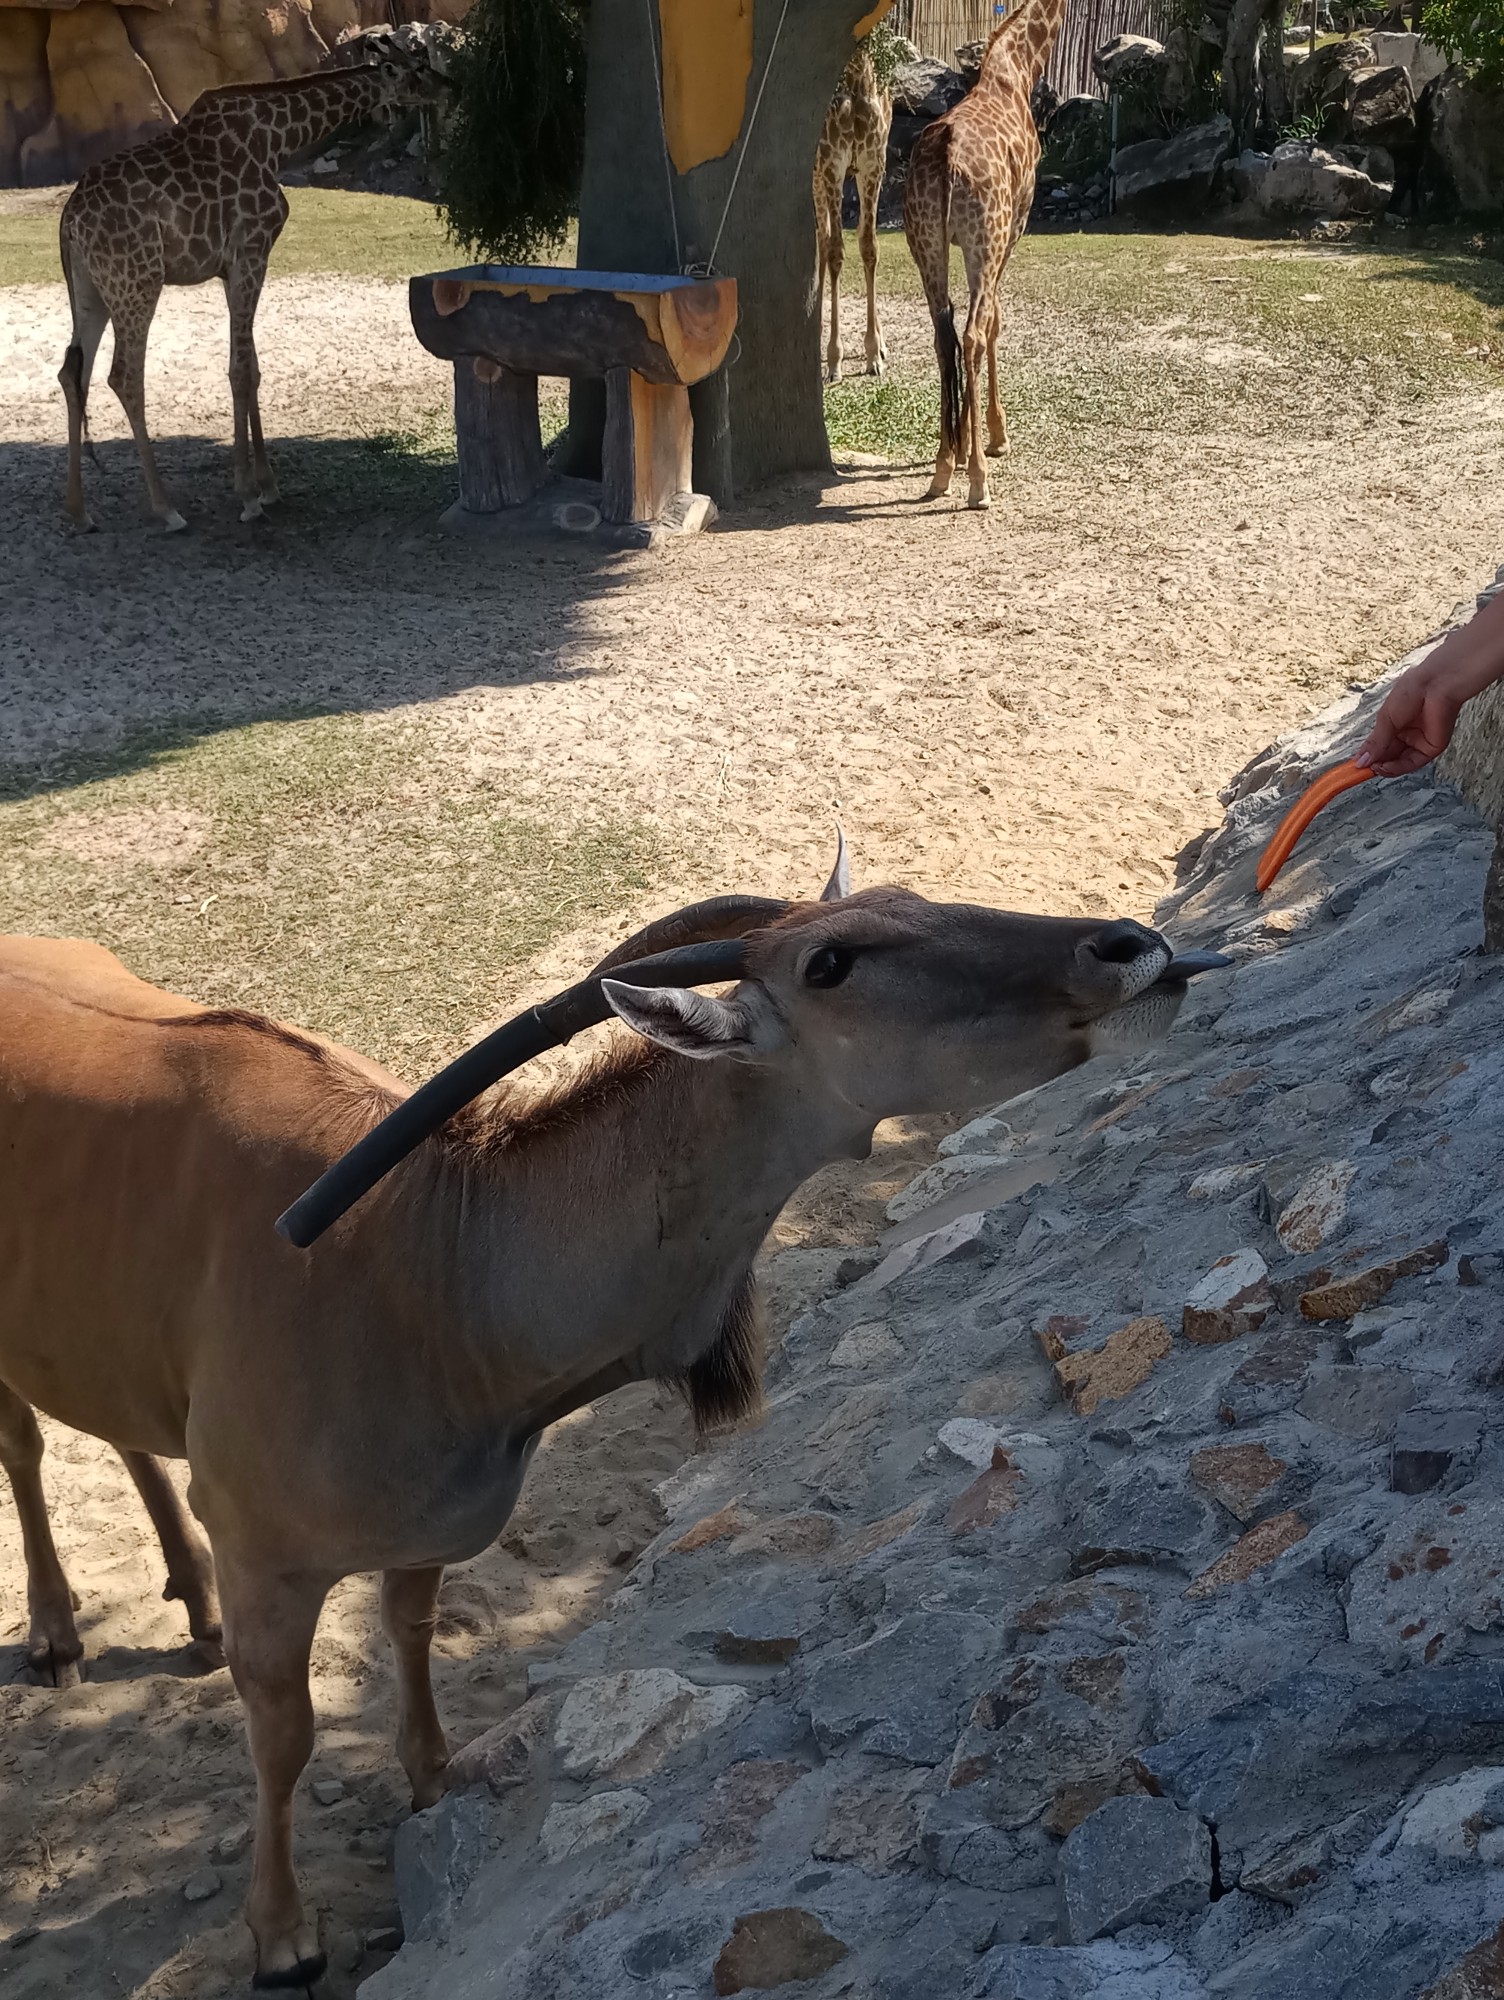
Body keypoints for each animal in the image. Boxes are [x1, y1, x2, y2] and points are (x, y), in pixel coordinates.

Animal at [0, 856, 1224, 1984]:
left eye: (912, 894)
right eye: (829, 961)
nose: (1130, 947)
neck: (430, 1265)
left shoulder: (417, 1534)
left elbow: (410, 1628)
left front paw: (435, 1782)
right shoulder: (264, 1550)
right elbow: (287, 1729)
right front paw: (284, 1934)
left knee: (117, 1432)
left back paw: (188, 1607)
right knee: (26, 1439)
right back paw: (59, 1637)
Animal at [60, 53, 446, 536]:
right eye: (417, 69)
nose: (449, 84)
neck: (278, 137)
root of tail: (69, 219)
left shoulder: (233, 268)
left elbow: (252, 367)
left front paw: (268, 485)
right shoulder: (251, 250)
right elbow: (241, 370)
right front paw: (248, 495)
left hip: (90, 289)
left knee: (72, 372)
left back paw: (79, 511)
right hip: (137, 281)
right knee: (124, 376)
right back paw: (166, 508)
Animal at [900, 0, 1064, 508]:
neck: (1018, 69)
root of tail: (948, 153)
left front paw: (963, 443)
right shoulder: (1016, 225)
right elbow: (995, 322)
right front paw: (996, 436)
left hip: (925, 242)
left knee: (943, 335)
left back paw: (942, 466)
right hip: (984, 238)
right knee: (972, 333)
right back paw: (977, 480)